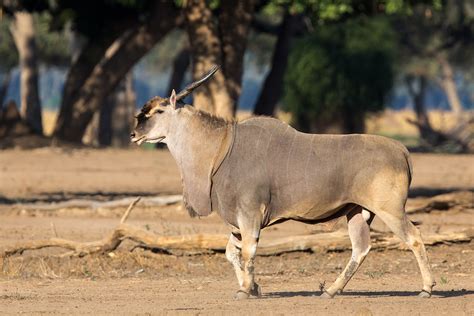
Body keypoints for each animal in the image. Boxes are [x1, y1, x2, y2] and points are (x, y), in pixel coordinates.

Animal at [130, 66, 434, 298]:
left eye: (158, 112)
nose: (134, 134)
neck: (223, 148)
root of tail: (402, 150)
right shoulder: (237, 222)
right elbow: (231, 253)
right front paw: (252, 288)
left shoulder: (249, 214)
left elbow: (249, 251)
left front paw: (247, 290)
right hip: (358, 212)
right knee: (361, 249)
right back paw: (331, 291)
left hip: (389, 210)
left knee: (414, 237)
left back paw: (427, 288)